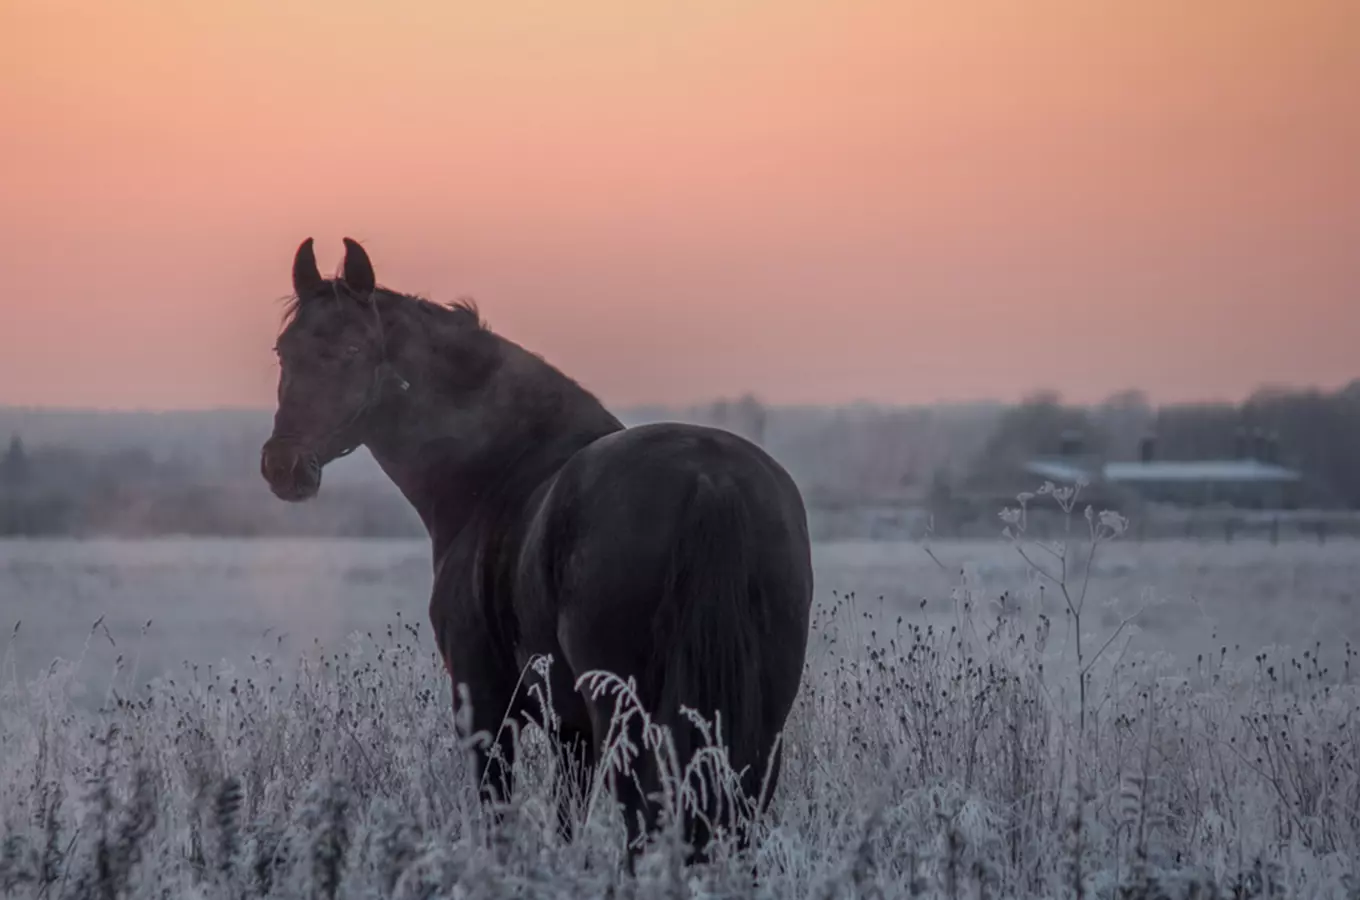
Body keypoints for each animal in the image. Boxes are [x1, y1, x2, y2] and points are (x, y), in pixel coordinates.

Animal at [262, 236, 816, 864]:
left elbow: (498, 818)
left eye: (354, 347)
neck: (500, 469)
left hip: (626, 715)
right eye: (283, 351)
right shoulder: (570, 733)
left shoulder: (485, 706)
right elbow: (566, 821)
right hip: (757, 722)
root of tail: (709, 481)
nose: (283, 466)